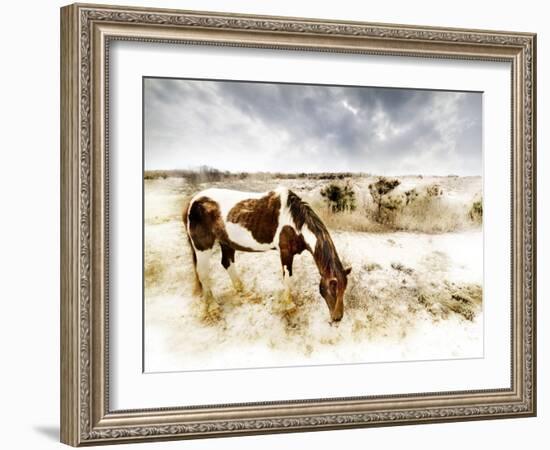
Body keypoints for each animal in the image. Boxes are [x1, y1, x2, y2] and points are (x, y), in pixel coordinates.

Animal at [183, 187, 352, 324]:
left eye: (344, 289)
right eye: (332, 288)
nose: (338, 318)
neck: (294, 222)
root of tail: (192, 201)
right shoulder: (285, 252)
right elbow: (288, 277)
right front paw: (289, 306)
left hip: (226, 242)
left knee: (227, 263)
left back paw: (243, 291)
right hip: (202, 247)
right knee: (203, 274)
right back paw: (213, 308)